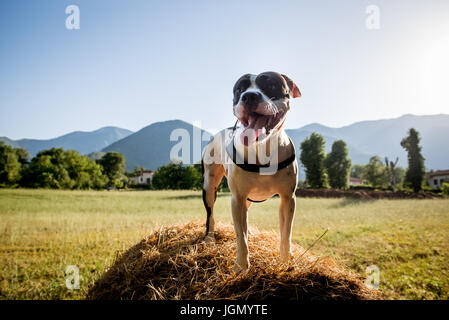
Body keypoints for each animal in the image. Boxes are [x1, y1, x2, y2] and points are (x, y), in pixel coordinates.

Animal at [200, 71, 300, 272]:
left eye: (271, 85)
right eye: (239, 89)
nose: (249, 96)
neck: (262, 147)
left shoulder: (288, 199)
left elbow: (286, 234)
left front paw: (286, 260)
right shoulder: (237, 198)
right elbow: (241, 238)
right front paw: (241, 266)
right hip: (209, 187)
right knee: (210, 215)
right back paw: (209, 238)